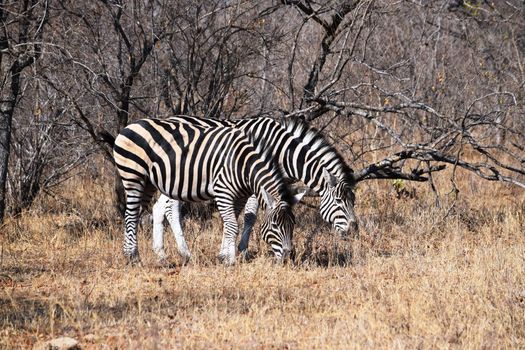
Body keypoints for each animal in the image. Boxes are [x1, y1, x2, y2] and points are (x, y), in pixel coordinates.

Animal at [114, 118, 302, 266]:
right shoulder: (223, 191)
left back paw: (137, 254)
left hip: (148, 183)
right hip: (133, 177)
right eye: (275, 225)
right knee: (131, 215)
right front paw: (231, 260)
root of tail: (129, 126)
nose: (288, 257)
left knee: (137, 214)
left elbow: (232, 223)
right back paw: (134, 257)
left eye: (293, 224)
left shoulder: (240, 194)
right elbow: (233, 225)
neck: (243, 164)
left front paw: (224, 256)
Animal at [149, 116, 358, 262]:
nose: (353, 230)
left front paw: (226, 252)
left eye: (353, 201)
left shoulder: (279, 186)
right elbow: (249, 216)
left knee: (159, 207)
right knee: (170, 209)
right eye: (339, 202)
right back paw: (184, 253)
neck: (282, 151)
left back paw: (162, 254)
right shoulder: (252, 183)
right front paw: (240, 251)